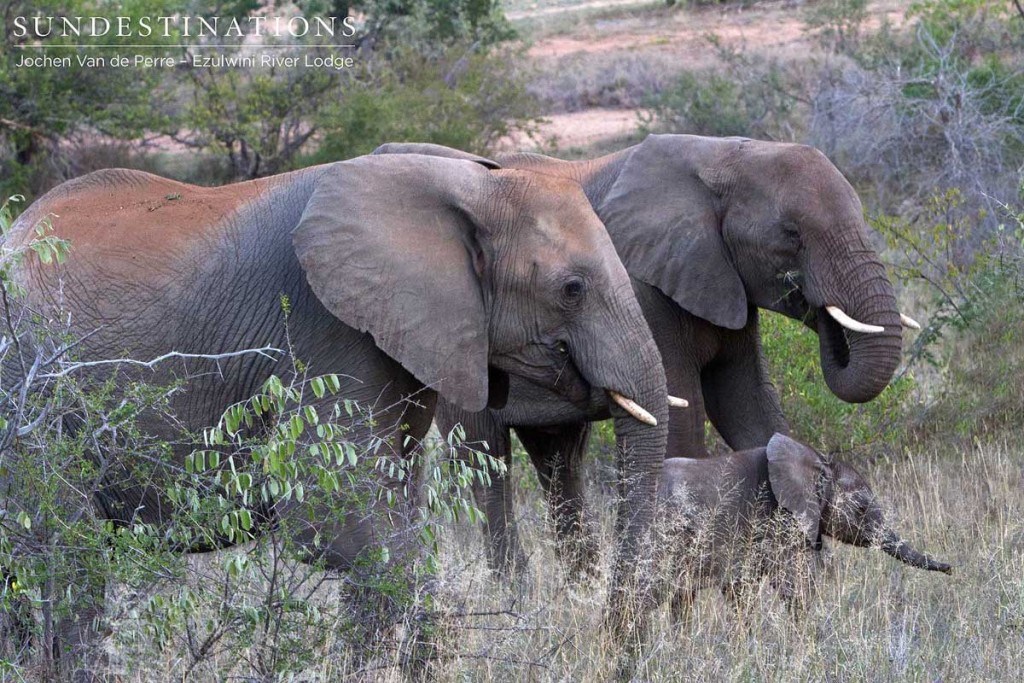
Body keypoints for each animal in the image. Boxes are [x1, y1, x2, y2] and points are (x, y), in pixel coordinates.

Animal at [6, 150, 671, 679]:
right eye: (572, 289)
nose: (612, 646)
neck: (465, 183)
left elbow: (395, 512)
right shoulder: (324, 330)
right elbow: (340, 519)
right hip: (31, 397)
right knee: (65, 551)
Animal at [374, 136, 913, 581]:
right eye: (791, 235)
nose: (821, 310)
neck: (724, 156)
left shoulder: (724, 281)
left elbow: (749, 407)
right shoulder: (642, 289)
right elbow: (686, 417)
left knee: (559, 462)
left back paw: (580, 588)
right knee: (486, 458)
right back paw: (519, 592)